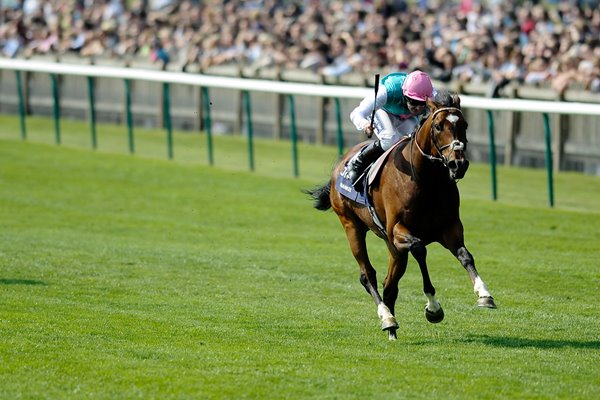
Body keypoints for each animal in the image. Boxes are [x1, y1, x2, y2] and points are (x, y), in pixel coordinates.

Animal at [308, 91, 494, 340]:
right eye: (438, 126)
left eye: (464, 124)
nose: (458, 164)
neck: (426, 181)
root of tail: (340, 165)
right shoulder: (399, 230)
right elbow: (420, 249)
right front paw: (433, 307)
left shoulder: (449, 228)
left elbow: (466, 255)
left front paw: (484, 294)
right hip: (351, 225)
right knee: (368, 275)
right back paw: (387, 318)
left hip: (393, 248)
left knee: (390, 285)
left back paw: (392, 329)